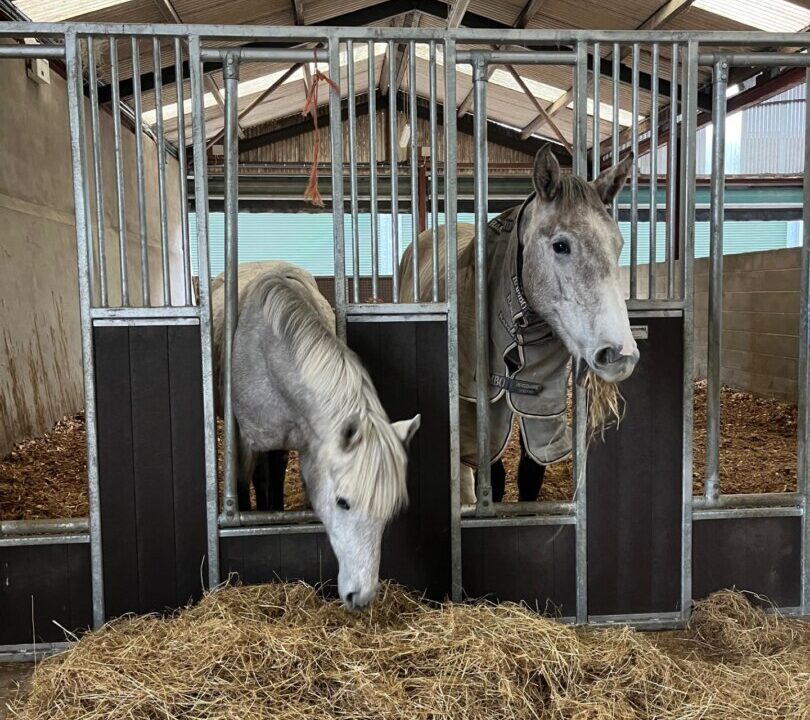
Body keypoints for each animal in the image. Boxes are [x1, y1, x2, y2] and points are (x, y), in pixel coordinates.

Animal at [211, 262, 420, 612]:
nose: (361, 597)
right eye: (343, 502)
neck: (268, 349)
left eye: (390, 510)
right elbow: (243, 486)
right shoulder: (244, 441)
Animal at [398, 145, 636, 506]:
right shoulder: (483, 408)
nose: (619, 354)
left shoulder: (540, 407)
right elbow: (493, 476)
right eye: (561, 245)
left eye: (618, 244)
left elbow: (530, 473)